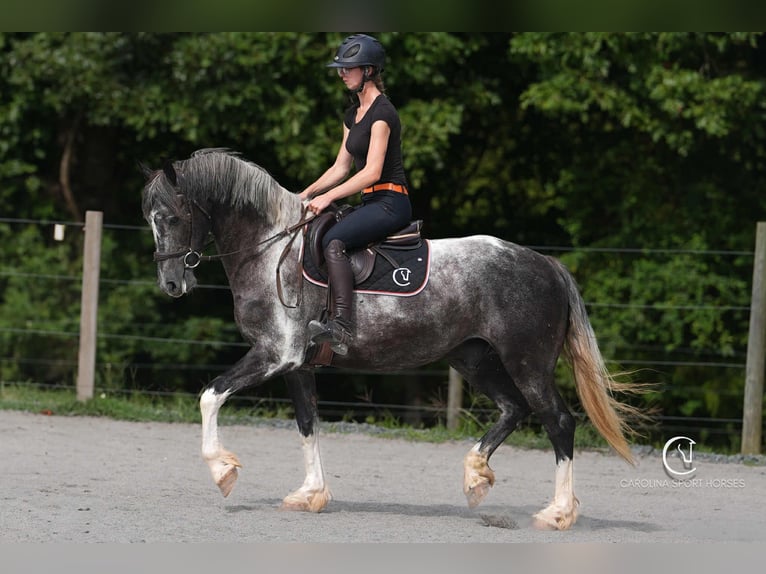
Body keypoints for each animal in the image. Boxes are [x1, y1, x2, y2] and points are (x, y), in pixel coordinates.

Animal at [141, 148, 641, 530]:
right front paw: (311, 494)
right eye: (150, 220)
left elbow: (210, 395)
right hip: (473, 358)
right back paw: (475, 477)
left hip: (527, 363)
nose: (171, 284)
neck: (271, 252)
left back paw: (557, 513)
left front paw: (223, 470)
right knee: (513, 409)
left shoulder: (275, 354)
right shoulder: (298, 365)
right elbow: (307, 424)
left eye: (171, 217)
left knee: (558, 421)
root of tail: (547, 265)